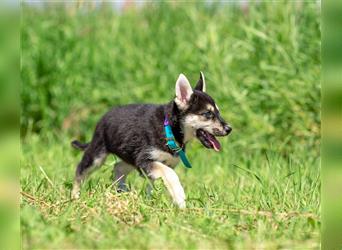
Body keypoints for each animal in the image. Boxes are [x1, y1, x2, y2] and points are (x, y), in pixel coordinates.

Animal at [72, 72, 232, 207]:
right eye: (207, 114)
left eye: (218, 112)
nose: (229, 129)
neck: (169, 129)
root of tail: (104, 117)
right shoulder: (145, 161)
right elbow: (170, 175)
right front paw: (180, 198)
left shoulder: (157, 164)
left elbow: (154, 182)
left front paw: (151, 201)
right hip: (98, 154)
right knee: (81, 170)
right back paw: (75, 196)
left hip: (130, 157)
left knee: (118, 167)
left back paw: (122, 191)